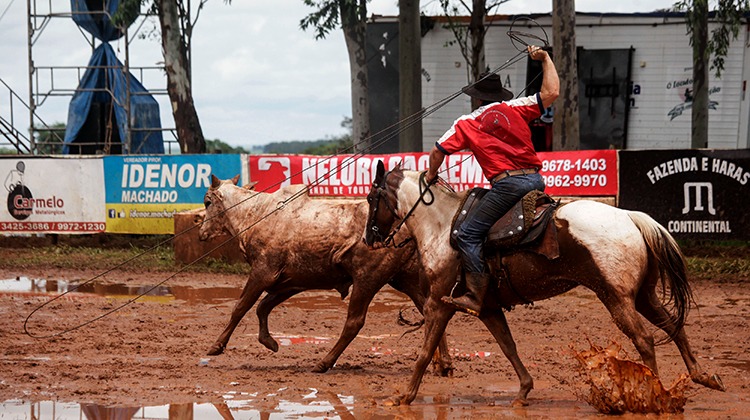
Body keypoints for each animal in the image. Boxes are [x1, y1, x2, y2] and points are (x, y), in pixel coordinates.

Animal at [198, 174, 452, 374]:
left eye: (207, 201)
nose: (200, 231)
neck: (256, 214)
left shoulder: (263, 272)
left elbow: (241, 307)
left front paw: (217, 346)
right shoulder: (291, 282)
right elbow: (263, 306)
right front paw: (269, 342)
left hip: (368, 279)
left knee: (354, 322)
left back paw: (324, 362)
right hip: (403, 278)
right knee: (428, 310)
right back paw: (444, 364)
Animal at [364, 162, 728, 406]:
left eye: (370, 198)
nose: (369, 238)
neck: (442, 226)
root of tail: (630, 216)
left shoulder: (439, 303)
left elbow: (425, 352)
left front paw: (404, 397)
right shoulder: (488, 307)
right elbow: (508, 346)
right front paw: (524, 391)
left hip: (616, 297)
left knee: (645, 339)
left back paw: (652, 394)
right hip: (643, 295)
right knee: (673, 325)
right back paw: (703, 377)